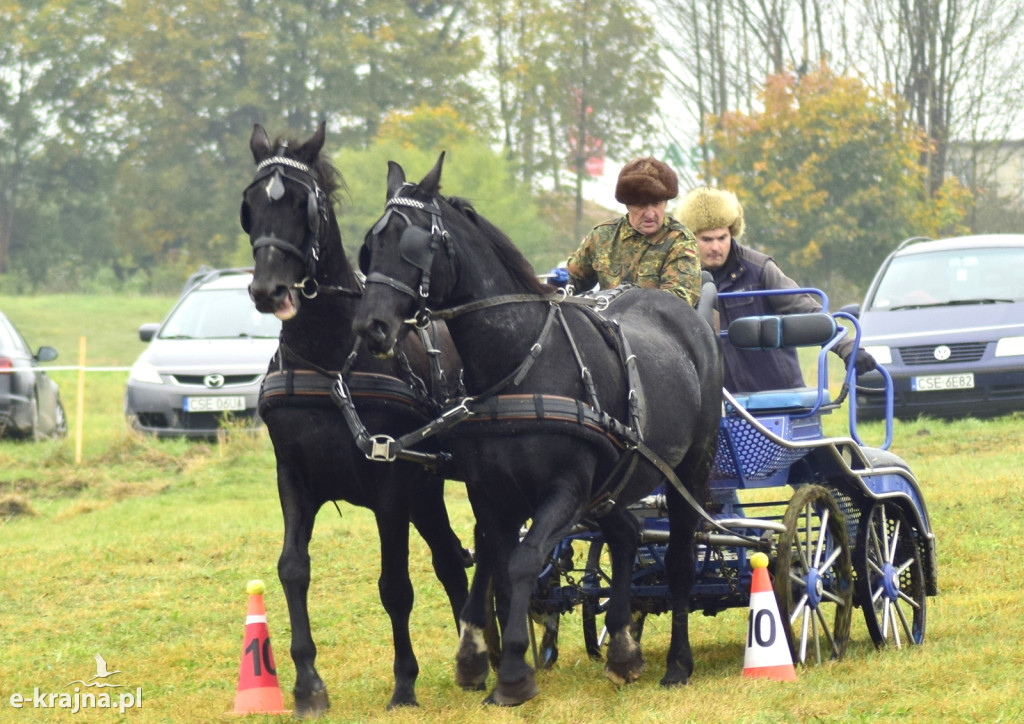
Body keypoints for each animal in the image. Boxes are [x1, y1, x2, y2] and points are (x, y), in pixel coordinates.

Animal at [239, 123, 468, 712]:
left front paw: (404, 683)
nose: (267, 290)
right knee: (451, 561)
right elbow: (292, 569)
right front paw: (306, 685)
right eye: (250, 205)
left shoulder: (391, 484)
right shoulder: (293, 477)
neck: (329, 358)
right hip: (426, 491)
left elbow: (395, 586)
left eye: (304, 204)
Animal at [356, 155, 724, 704]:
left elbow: (524, 561)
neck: (520, 362)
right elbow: (496, 560)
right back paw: (622, 649)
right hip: (611, 485)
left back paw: (677, 663)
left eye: (413, 244)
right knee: (627, 534)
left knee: (679, 559)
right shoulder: (490, 492)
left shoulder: (564, 490)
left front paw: (511, 673)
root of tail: (690, 318)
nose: (371, 327)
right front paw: (477, 657)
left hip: (689, 473)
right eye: (370, 244)